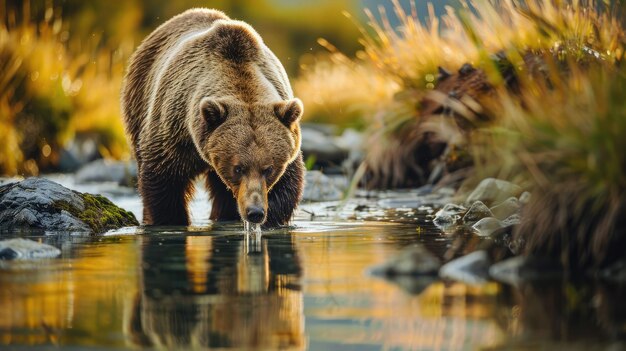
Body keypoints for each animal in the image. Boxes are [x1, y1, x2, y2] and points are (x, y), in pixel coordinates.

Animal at [120, 9, 304, 228]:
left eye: (268, 169)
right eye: (238, 168)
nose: (255, 212)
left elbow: (287, 185)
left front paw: (267, 218)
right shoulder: (175, 133)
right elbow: (164, 180)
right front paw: (171, 220)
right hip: (139, 99)